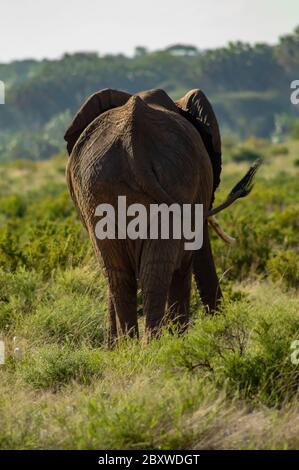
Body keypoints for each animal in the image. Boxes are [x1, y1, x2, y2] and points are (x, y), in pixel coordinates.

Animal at [65, 89, 260, 346]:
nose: (223, 328)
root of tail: (134, 144)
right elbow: (186, 263)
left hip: (103, 189)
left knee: (120, 274)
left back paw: (135, 347)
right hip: (163, 183)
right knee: (151, 272)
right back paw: (152, 346)